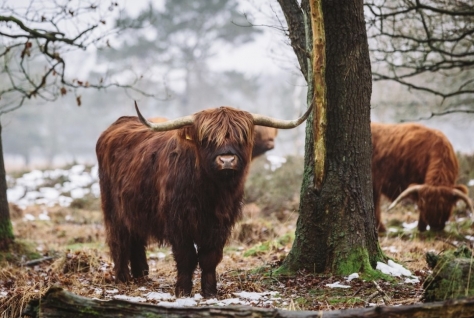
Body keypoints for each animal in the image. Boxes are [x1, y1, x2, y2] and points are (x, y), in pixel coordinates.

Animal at [96, 102, 312, 298]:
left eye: (240, 137)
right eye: (207, 139)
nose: (227, 160)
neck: (211, 193)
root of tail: (119, 123)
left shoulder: (220, 223)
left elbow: (210, 257)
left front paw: (210, 292)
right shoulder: (178, 222)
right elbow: (187, 257)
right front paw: (183, 291)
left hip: (134, 207)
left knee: (135, 237)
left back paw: (141, 274)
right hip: (112, 207)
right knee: (118, 238)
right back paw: (123, 277)